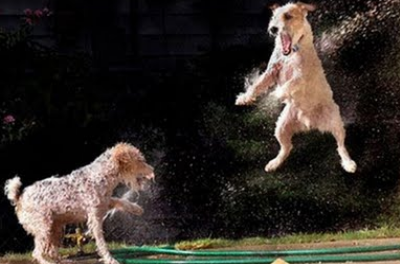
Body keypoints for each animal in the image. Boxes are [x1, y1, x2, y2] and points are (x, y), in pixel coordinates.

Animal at [4, 143, 155, 264]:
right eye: (140, 160)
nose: (153, 170)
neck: (101, 175)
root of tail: (20, 197)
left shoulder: (104, 203)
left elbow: (121, 200)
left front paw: (136, 209)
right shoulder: (95, 218)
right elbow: (102, 243)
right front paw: (110, 259)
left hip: (56, 228)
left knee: (51, 251)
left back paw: (64, 260)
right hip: (44, 227)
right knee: (37, 253)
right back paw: (47, 262)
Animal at [234, 3, 356, 174]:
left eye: (288, 16)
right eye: (274, 17)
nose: (273, 29)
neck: (291, 52)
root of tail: (309, 123)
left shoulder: (301, 75)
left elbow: (289, 84)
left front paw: (276, 94)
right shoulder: (271, 71)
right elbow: (257, 85)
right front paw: (245, 98)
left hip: (335, 122)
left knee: (341, 146)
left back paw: (349, 163)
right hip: (281, 126)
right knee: (287, 147)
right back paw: (274, 163)